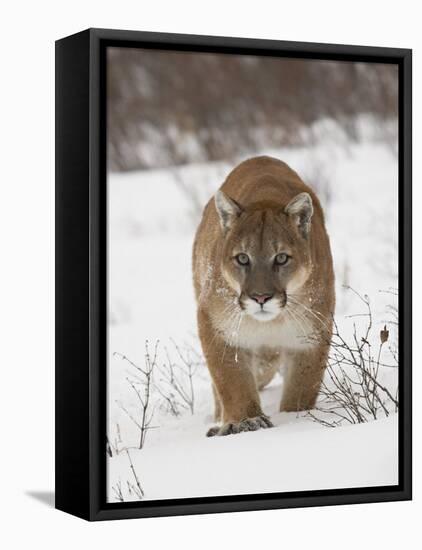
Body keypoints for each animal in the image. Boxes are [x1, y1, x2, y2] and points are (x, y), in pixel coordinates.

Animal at [193, 157, 334, 438]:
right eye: (242, 258)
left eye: (281, 258)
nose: (260, 298)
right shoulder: (215, 325)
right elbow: (231, 380)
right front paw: (245, 421)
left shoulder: (311, 335)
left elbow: (302, 387)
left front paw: (297, 418)